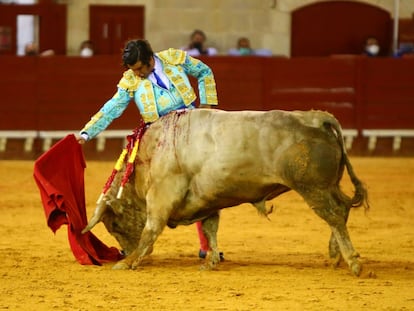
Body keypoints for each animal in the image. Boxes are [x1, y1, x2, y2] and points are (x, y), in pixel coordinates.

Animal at [82, 108, 368, 276]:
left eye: (114, 224)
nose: (124, 251)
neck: (148, 156)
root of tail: (316, 117)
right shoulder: (208, 202)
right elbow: (211, 230)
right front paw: (210, 261)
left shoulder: (161, 197)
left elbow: (150, 230)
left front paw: (128, 262)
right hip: (328, 186)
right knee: (343, 208)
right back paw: (336, 257)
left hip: (312, 188)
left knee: (334, 215)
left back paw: (354, 262)